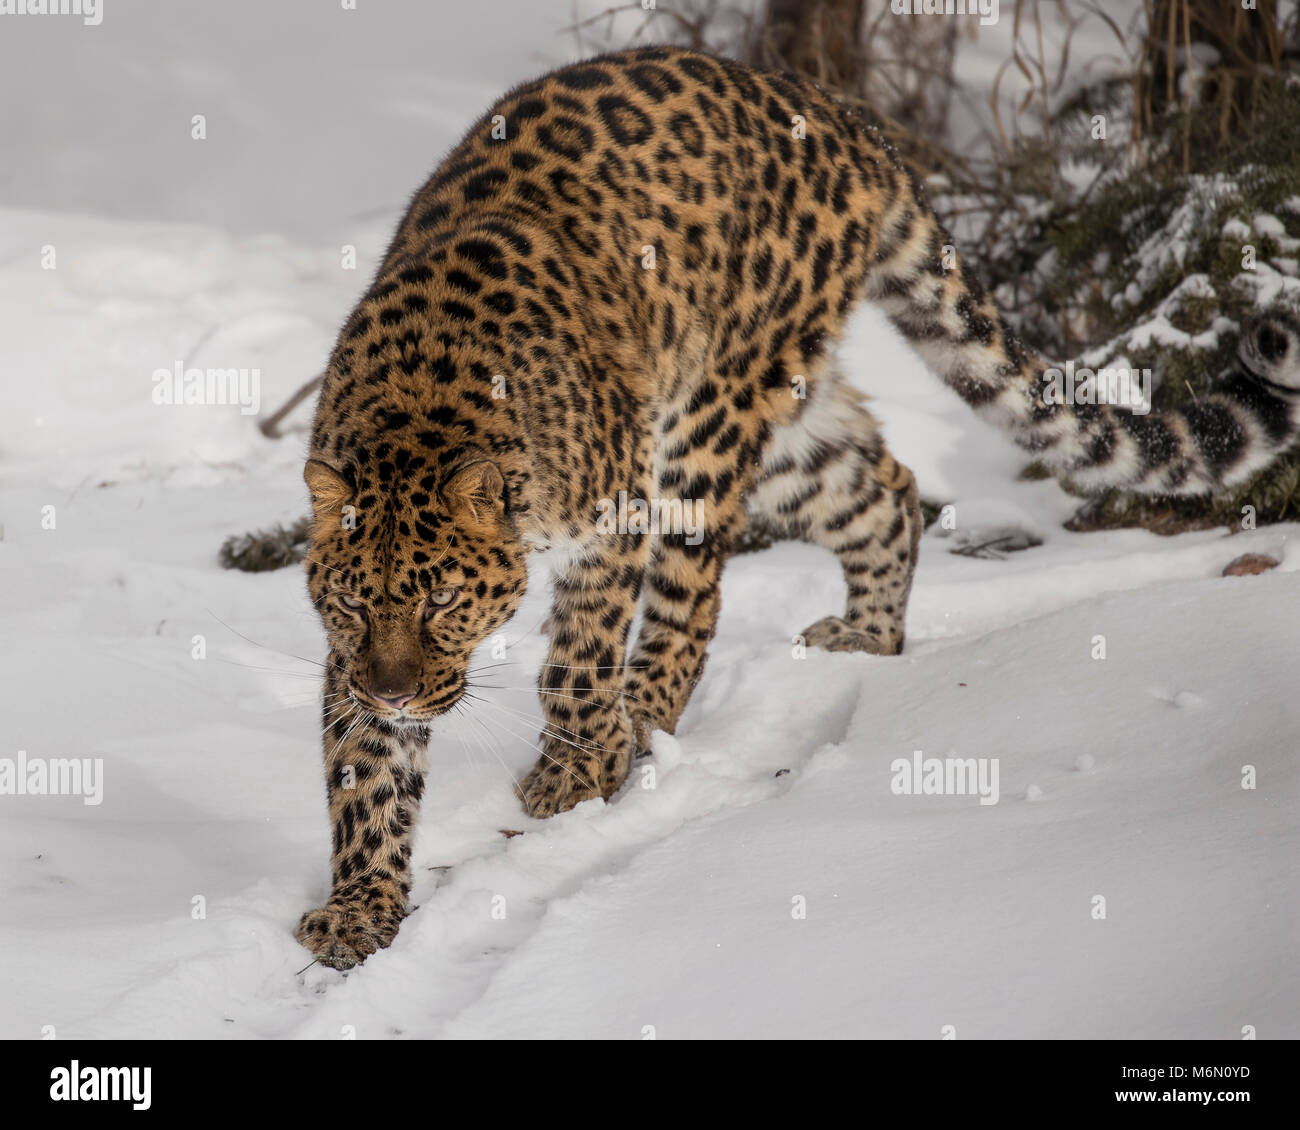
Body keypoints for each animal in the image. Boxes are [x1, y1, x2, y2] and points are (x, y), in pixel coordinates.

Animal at [294, 46, 1300, 969]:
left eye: (442, 601)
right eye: (350, 602)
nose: (394, 689)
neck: (415, 408)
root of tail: (839, 113)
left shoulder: (614, 514)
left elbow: (579, 657)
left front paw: (576, 767)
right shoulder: (353, 649)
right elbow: (364, 767)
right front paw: (359, 908)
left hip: (708, 417)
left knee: (695, 596)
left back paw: (646, 715)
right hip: (779, 424)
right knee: (883, 486)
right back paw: (869, 636)